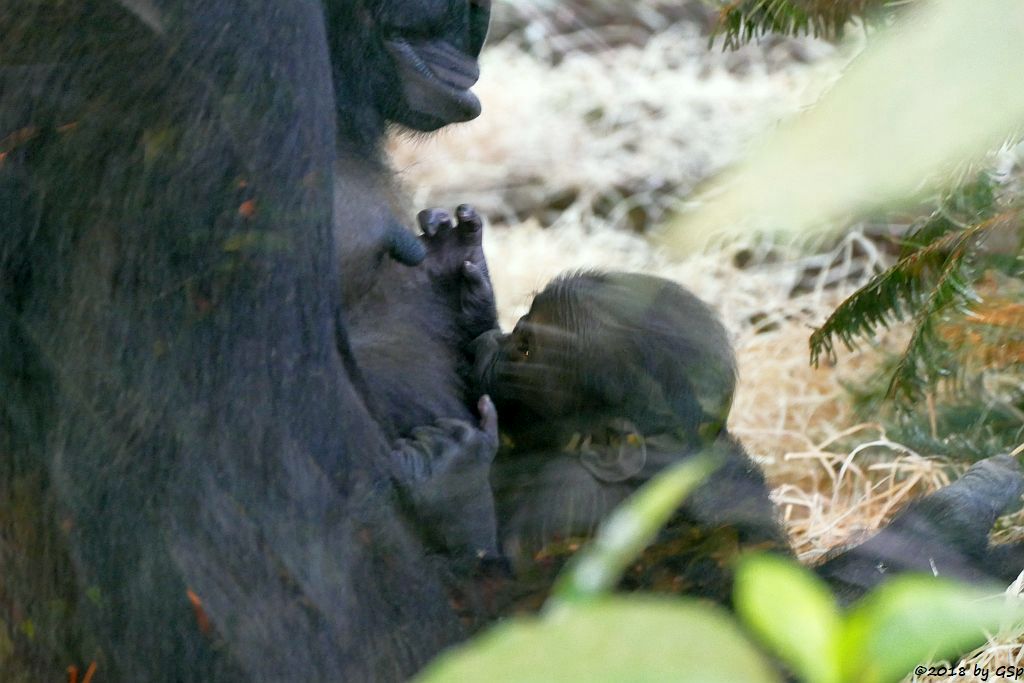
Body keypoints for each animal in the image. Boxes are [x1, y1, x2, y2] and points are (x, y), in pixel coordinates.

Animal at [415, 202, 1024, 610]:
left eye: (524, 347)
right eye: (517, 329)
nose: (494, 344)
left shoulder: (566, 496)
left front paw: (451, 489)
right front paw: (461, 276)